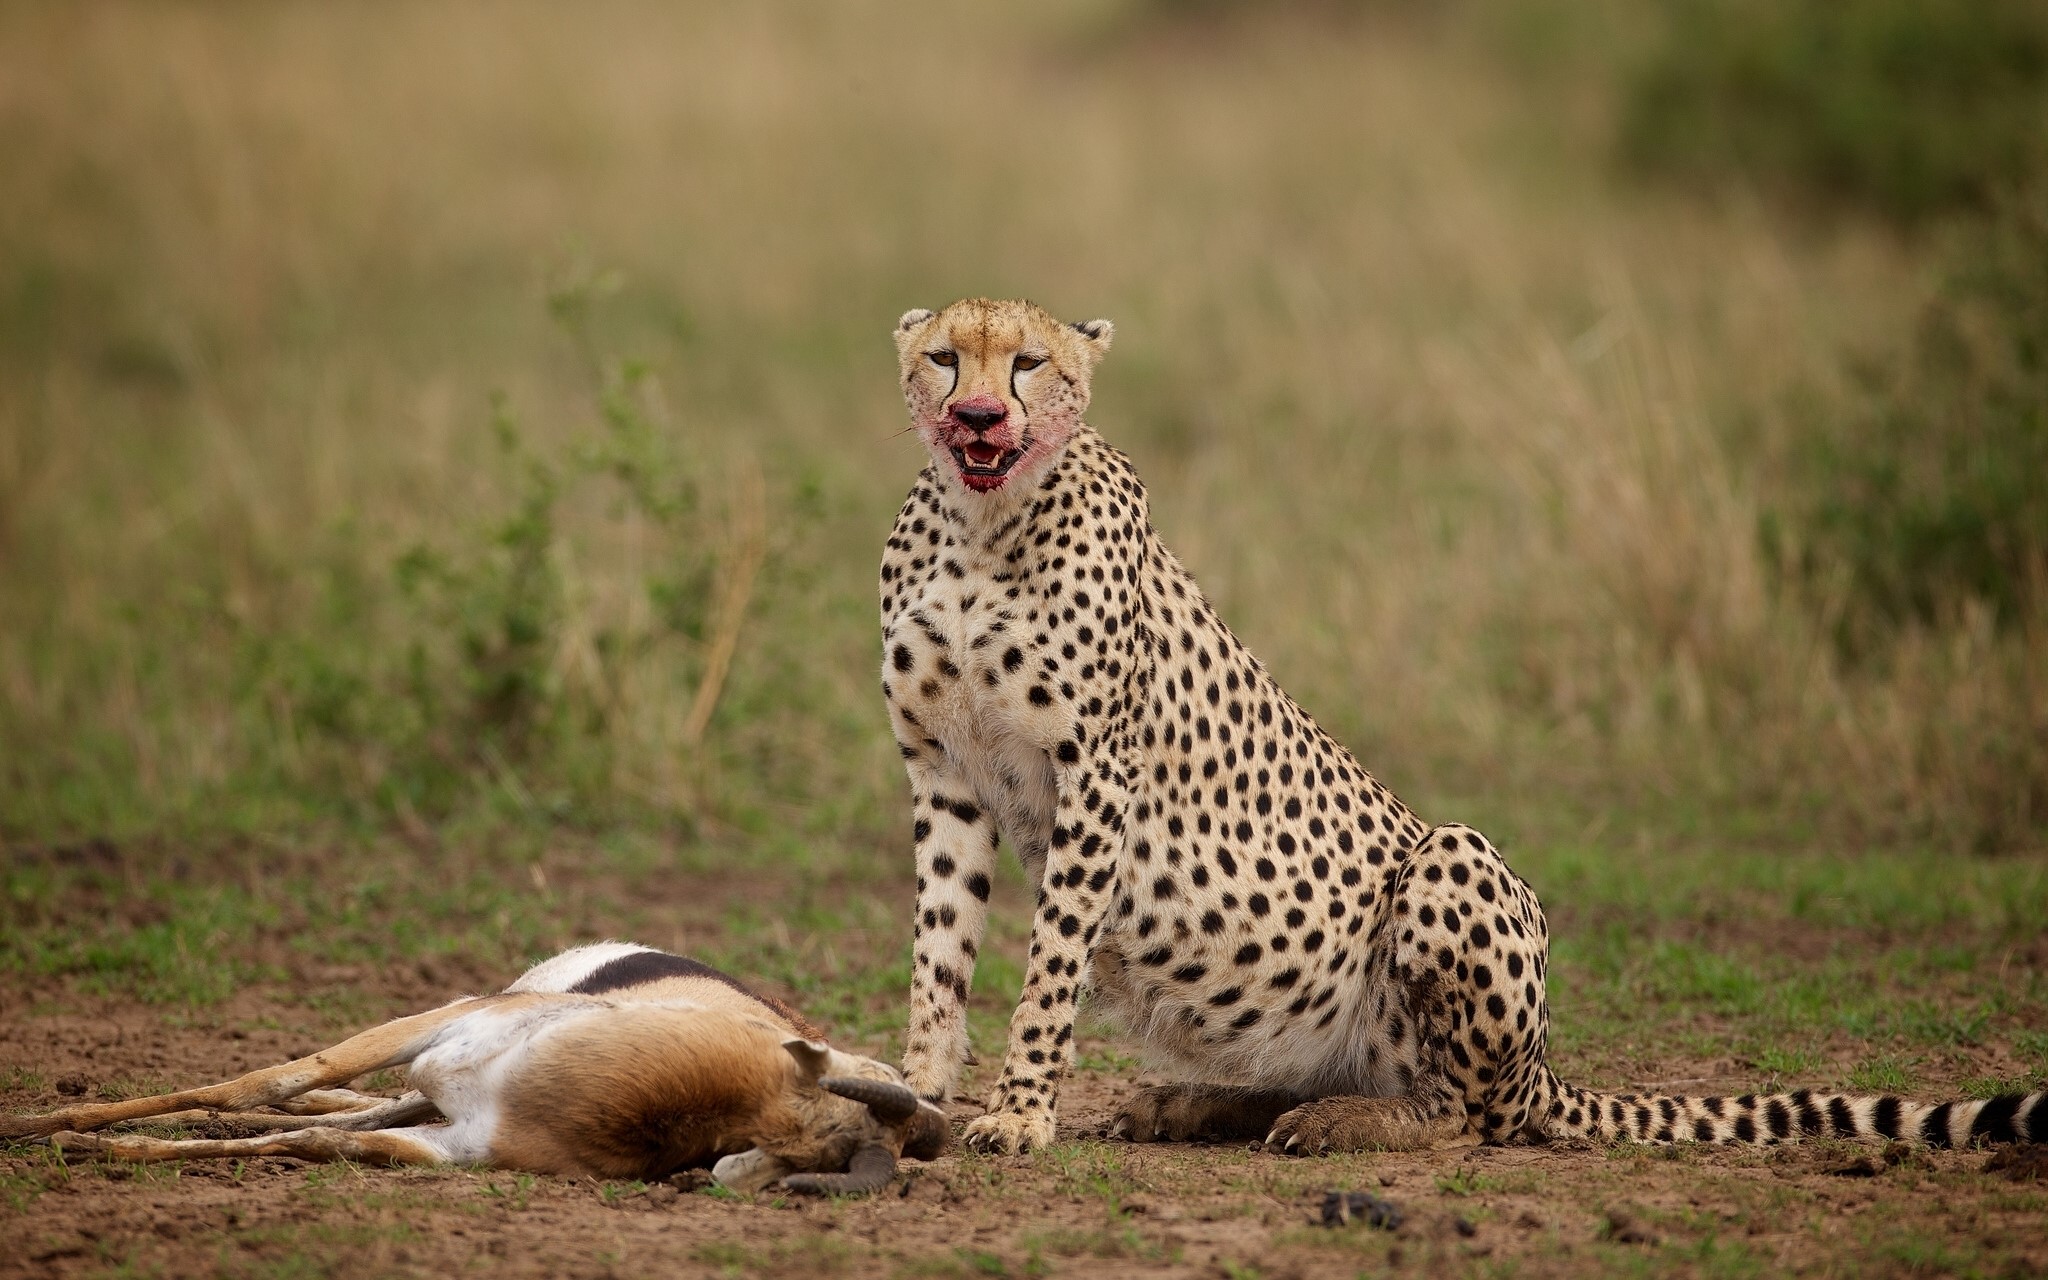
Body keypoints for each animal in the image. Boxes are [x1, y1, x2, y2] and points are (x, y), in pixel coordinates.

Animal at [878, 296, 2047, 1158]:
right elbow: (940, 948)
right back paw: (1196, 1102)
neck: (983, 526)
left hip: (1453, 860)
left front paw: (1018, 1113)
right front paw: (918, 1091)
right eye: (945, 358)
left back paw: (1348, 1123)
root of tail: (1544, 1070)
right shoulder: (944, 772)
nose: (977, 418)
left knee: (1468, 1116)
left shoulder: (1094, 774)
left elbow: (1047, 965)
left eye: (1028, 365)